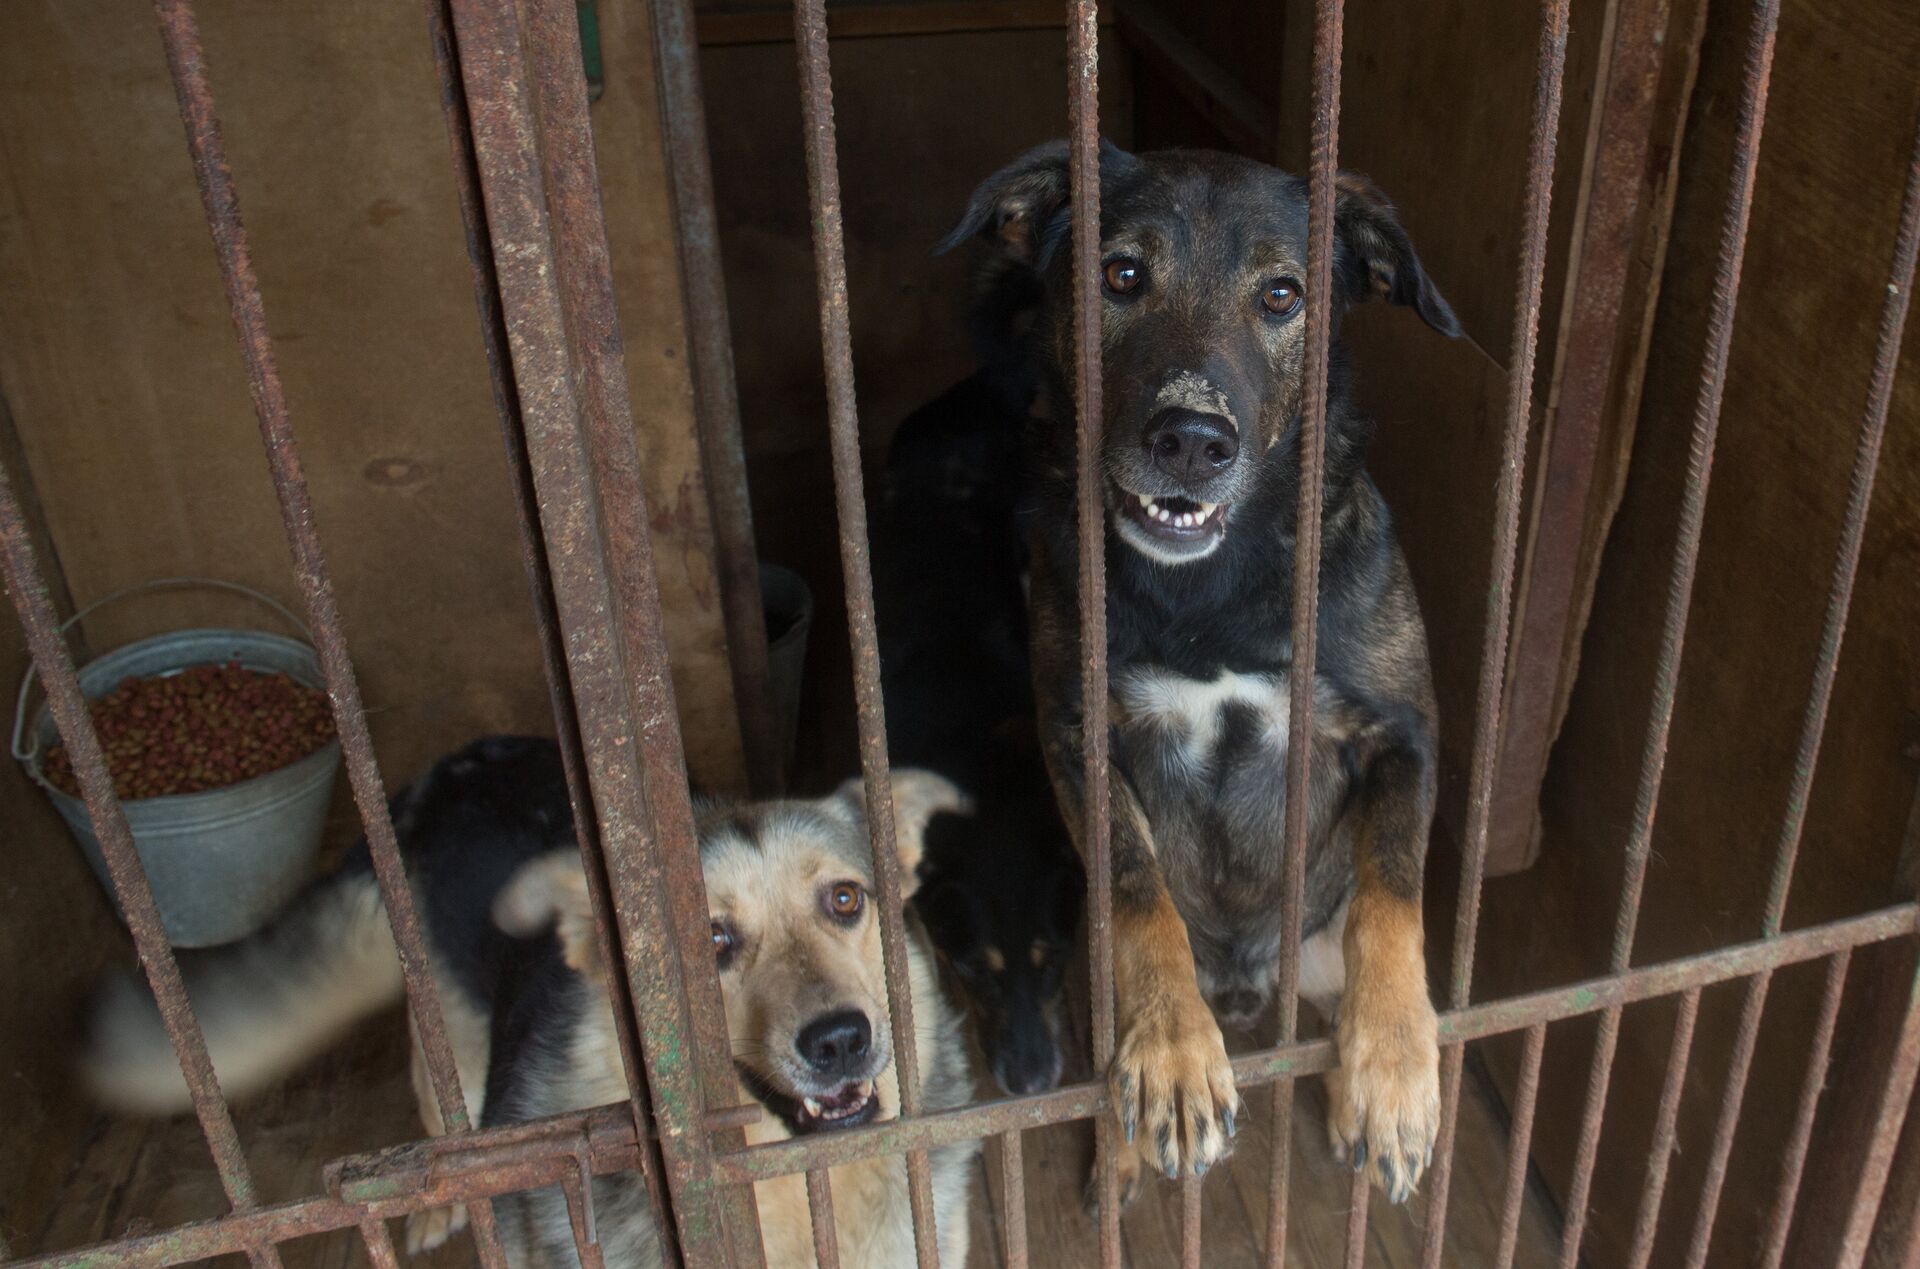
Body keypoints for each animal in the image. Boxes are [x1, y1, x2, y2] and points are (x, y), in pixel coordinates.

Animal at [936, 143, 1459, 1205]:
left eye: (1282, 293)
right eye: (1122, 273)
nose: (1190, 439)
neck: (1212, 587)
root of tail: (1246, 983)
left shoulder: (1407, 732)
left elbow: (1392, 898)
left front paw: (1393, 1069)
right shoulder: (1078, 736)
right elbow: (1141, 894)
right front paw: (1174, 1053)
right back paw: (1125, 1149)